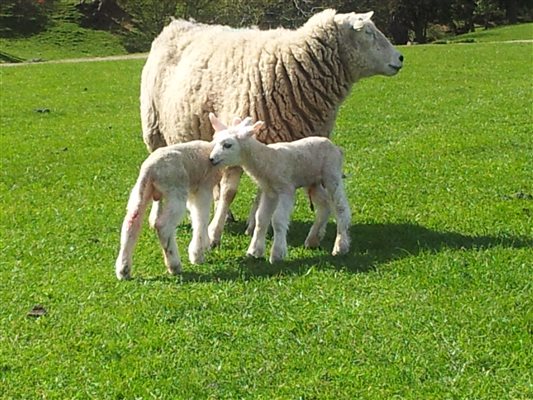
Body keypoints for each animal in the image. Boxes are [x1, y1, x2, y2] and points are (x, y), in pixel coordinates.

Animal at [115, 142, 221, 280]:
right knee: (163, 226)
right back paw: (174, 265)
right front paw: (197, 255)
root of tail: (149, 170)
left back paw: (123, 270)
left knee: (131, 222)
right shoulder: (203, 188)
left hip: (142, 190)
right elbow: (200, 218)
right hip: (175, 190)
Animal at [209, 112, 354, 262]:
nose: (211, 159)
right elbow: (260, 219)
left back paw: (340, 246)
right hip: (313, 181)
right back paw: (313, 240)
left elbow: (278, 219)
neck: (268, 158)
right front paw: (254, 251)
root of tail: (336, 148)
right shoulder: (269, 191)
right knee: (324, 205)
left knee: (341, 208)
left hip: (331, 173)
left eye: (227, 145)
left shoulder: (286, 188)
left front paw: (277, 254)